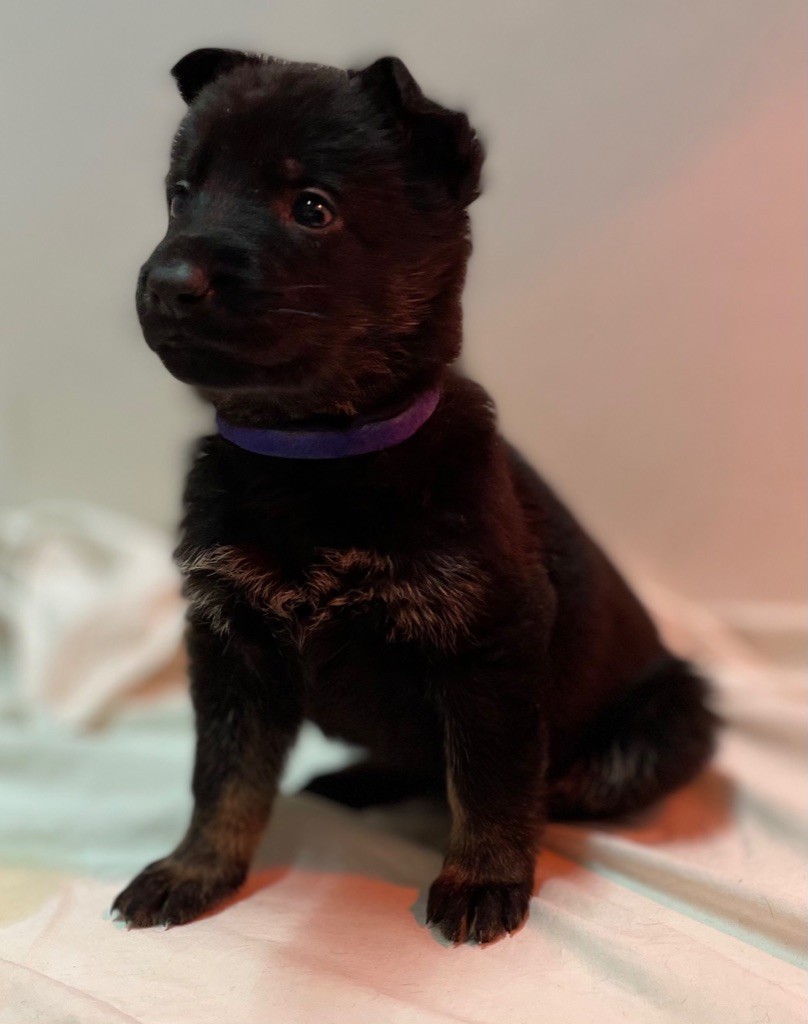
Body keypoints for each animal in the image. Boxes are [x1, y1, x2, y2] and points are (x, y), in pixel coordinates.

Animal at [112, 48, 717, 945]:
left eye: (312, 207)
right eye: (181, 194)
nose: (167, 280)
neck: (316, 459)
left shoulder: (489, 644)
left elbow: (490, 778)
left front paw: (483, 877)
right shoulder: (230, 641)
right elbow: (222, 776)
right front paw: (196, 869)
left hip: (671, 717)